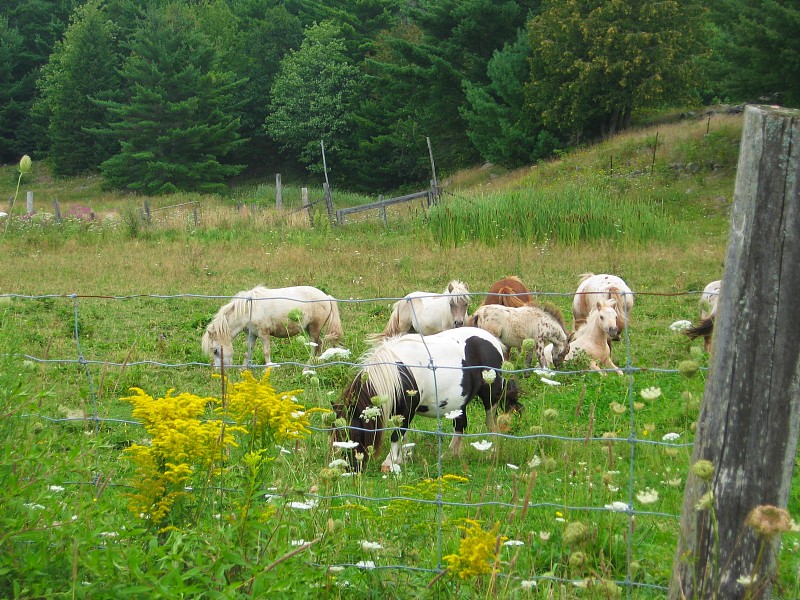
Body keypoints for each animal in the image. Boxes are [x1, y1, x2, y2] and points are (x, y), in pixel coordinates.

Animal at [202, 284, 342, 366]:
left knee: (315, 345)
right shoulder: (252, 335)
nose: (219, 371)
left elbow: (266, 352)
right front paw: (244, 369)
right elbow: (248, 352)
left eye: (215, 351)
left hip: (314, 328)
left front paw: (269, 368)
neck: (248, 309)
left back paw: (308, 365)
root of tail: (326, 297)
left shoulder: (264, 334)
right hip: (309, 328)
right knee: (319, 344)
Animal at [334, 326, 520, 472]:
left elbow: (396, 435)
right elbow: (402, 435)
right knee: (460, 425)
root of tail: (494, 342)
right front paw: (402, 458)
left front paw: (390, 462)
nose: (350, 468)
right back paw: (450, 454)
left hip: (491, 398)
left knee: (491, 425)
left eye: (351, 434)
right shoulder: (399, 411)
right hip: (459, 404)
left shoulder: (407, 410)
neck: (397, 373)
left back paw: (492, 453)